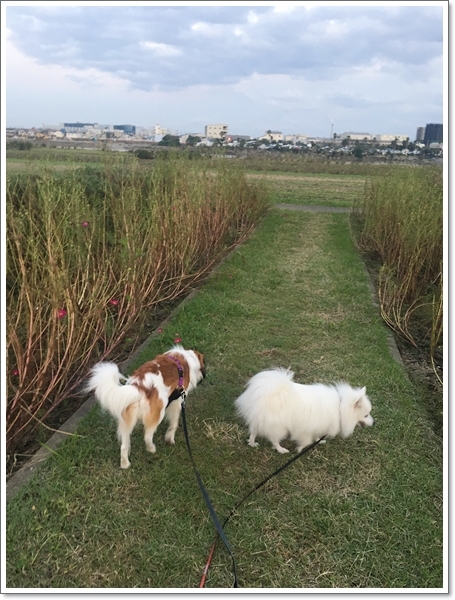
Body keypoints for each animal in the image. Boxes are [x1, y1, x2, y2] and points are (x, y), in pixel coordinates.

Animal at [235, 366, 374, 454]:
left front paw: (319, 441)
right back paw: (281, 449)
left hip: (260, 418)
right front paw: (300, 449)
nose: (374, 423)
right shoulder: (305, 428)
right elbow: (307, 441)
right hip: (278, 426)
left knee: (253, 431)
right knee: (274, 439)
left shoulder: (319, 425)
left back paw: (252, 443)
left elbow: (316, 436)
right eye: (366, 415)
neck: (339, 406)